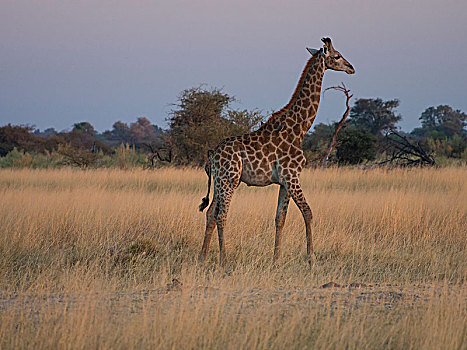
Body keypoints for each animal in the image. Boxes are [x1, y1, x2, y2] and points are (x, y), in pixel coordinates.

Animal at [197, 37, 354, 266]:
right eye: (337, 56)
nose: (351, 68)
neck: (299, 129)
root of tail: (211, 157)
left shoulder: (284, 181)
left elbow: (280, 218)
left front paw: (276, 260)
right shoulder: (292, 176)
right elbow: (308, 212)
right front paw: (311, 259)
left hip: (219, 181)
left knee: (210, 213)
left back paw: (202, 258)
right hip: (230, 179)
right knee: (221, 215)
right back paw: (223, 261)